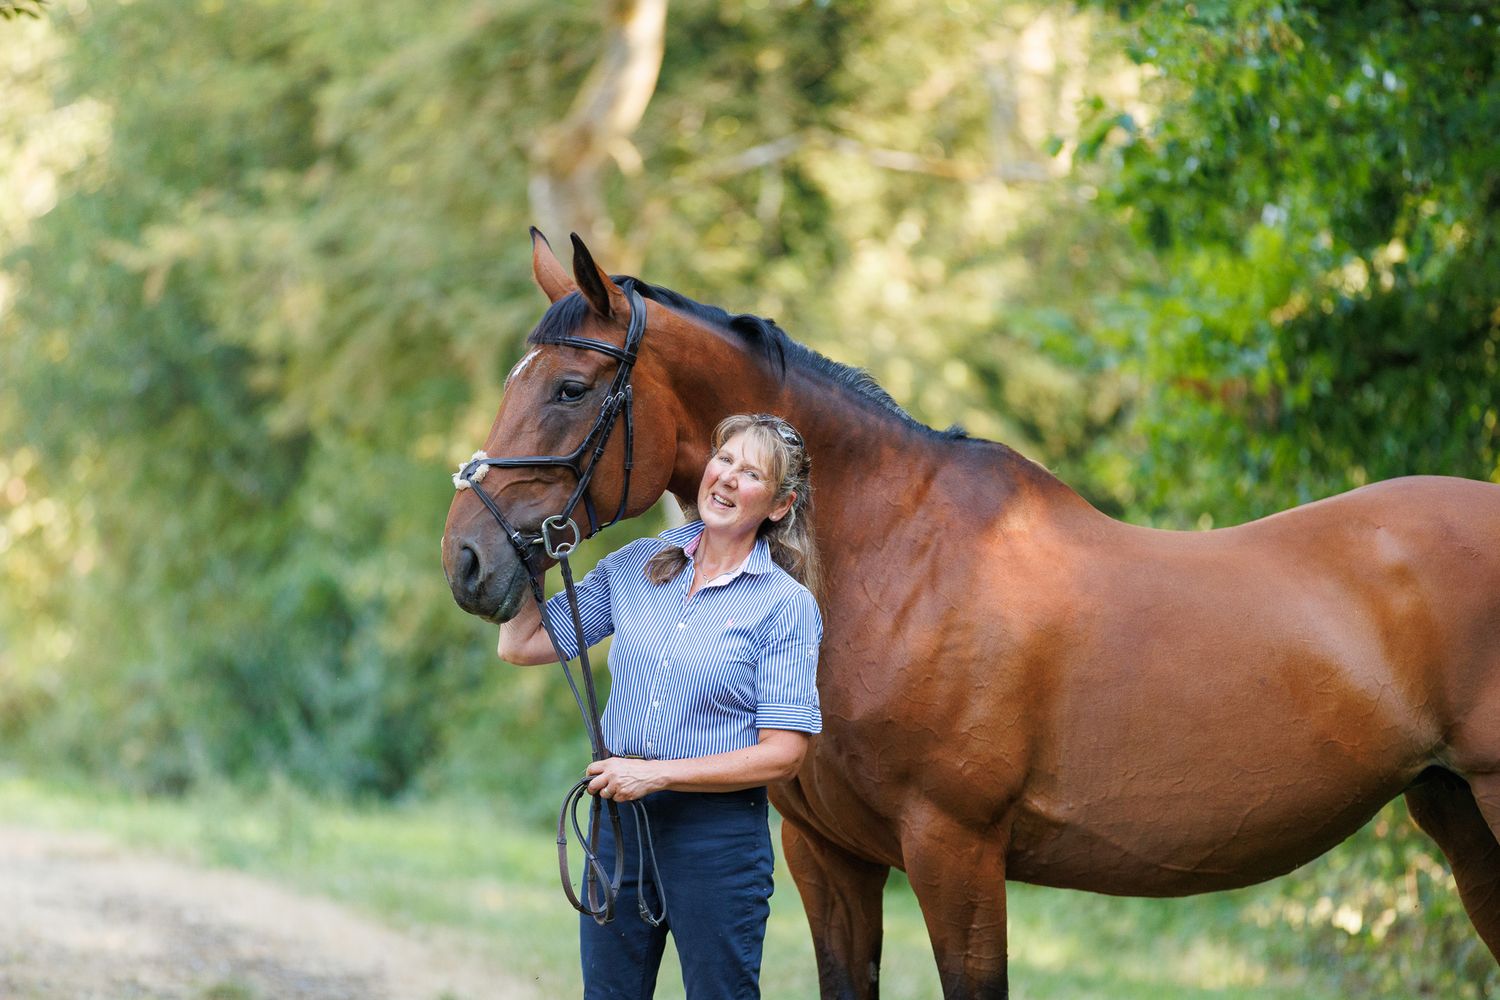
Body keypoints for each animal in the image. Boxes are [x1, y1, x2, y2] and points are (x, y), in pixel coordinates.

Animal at [441, 231, 1500, 999]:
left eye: (570, 388)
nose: (467, 561)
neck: (889, 564)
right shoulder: (828, 859)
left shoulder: (955, 851)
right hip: (1457, 814)